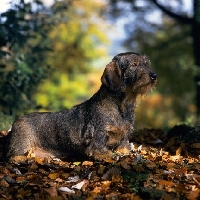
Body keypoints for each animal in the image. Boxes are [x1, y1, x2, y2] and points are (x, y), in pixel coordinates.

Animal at [5, 52, 157, 160]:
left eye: (146, 63)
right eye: (134, 64)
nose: (154, 75)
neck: (122, 106)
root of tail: (15, 123)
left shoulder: (123, 139)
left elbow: (124, 148)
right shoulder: (98, 139)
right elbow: (104, 152)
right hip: (21, 148)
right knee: (14, 157)